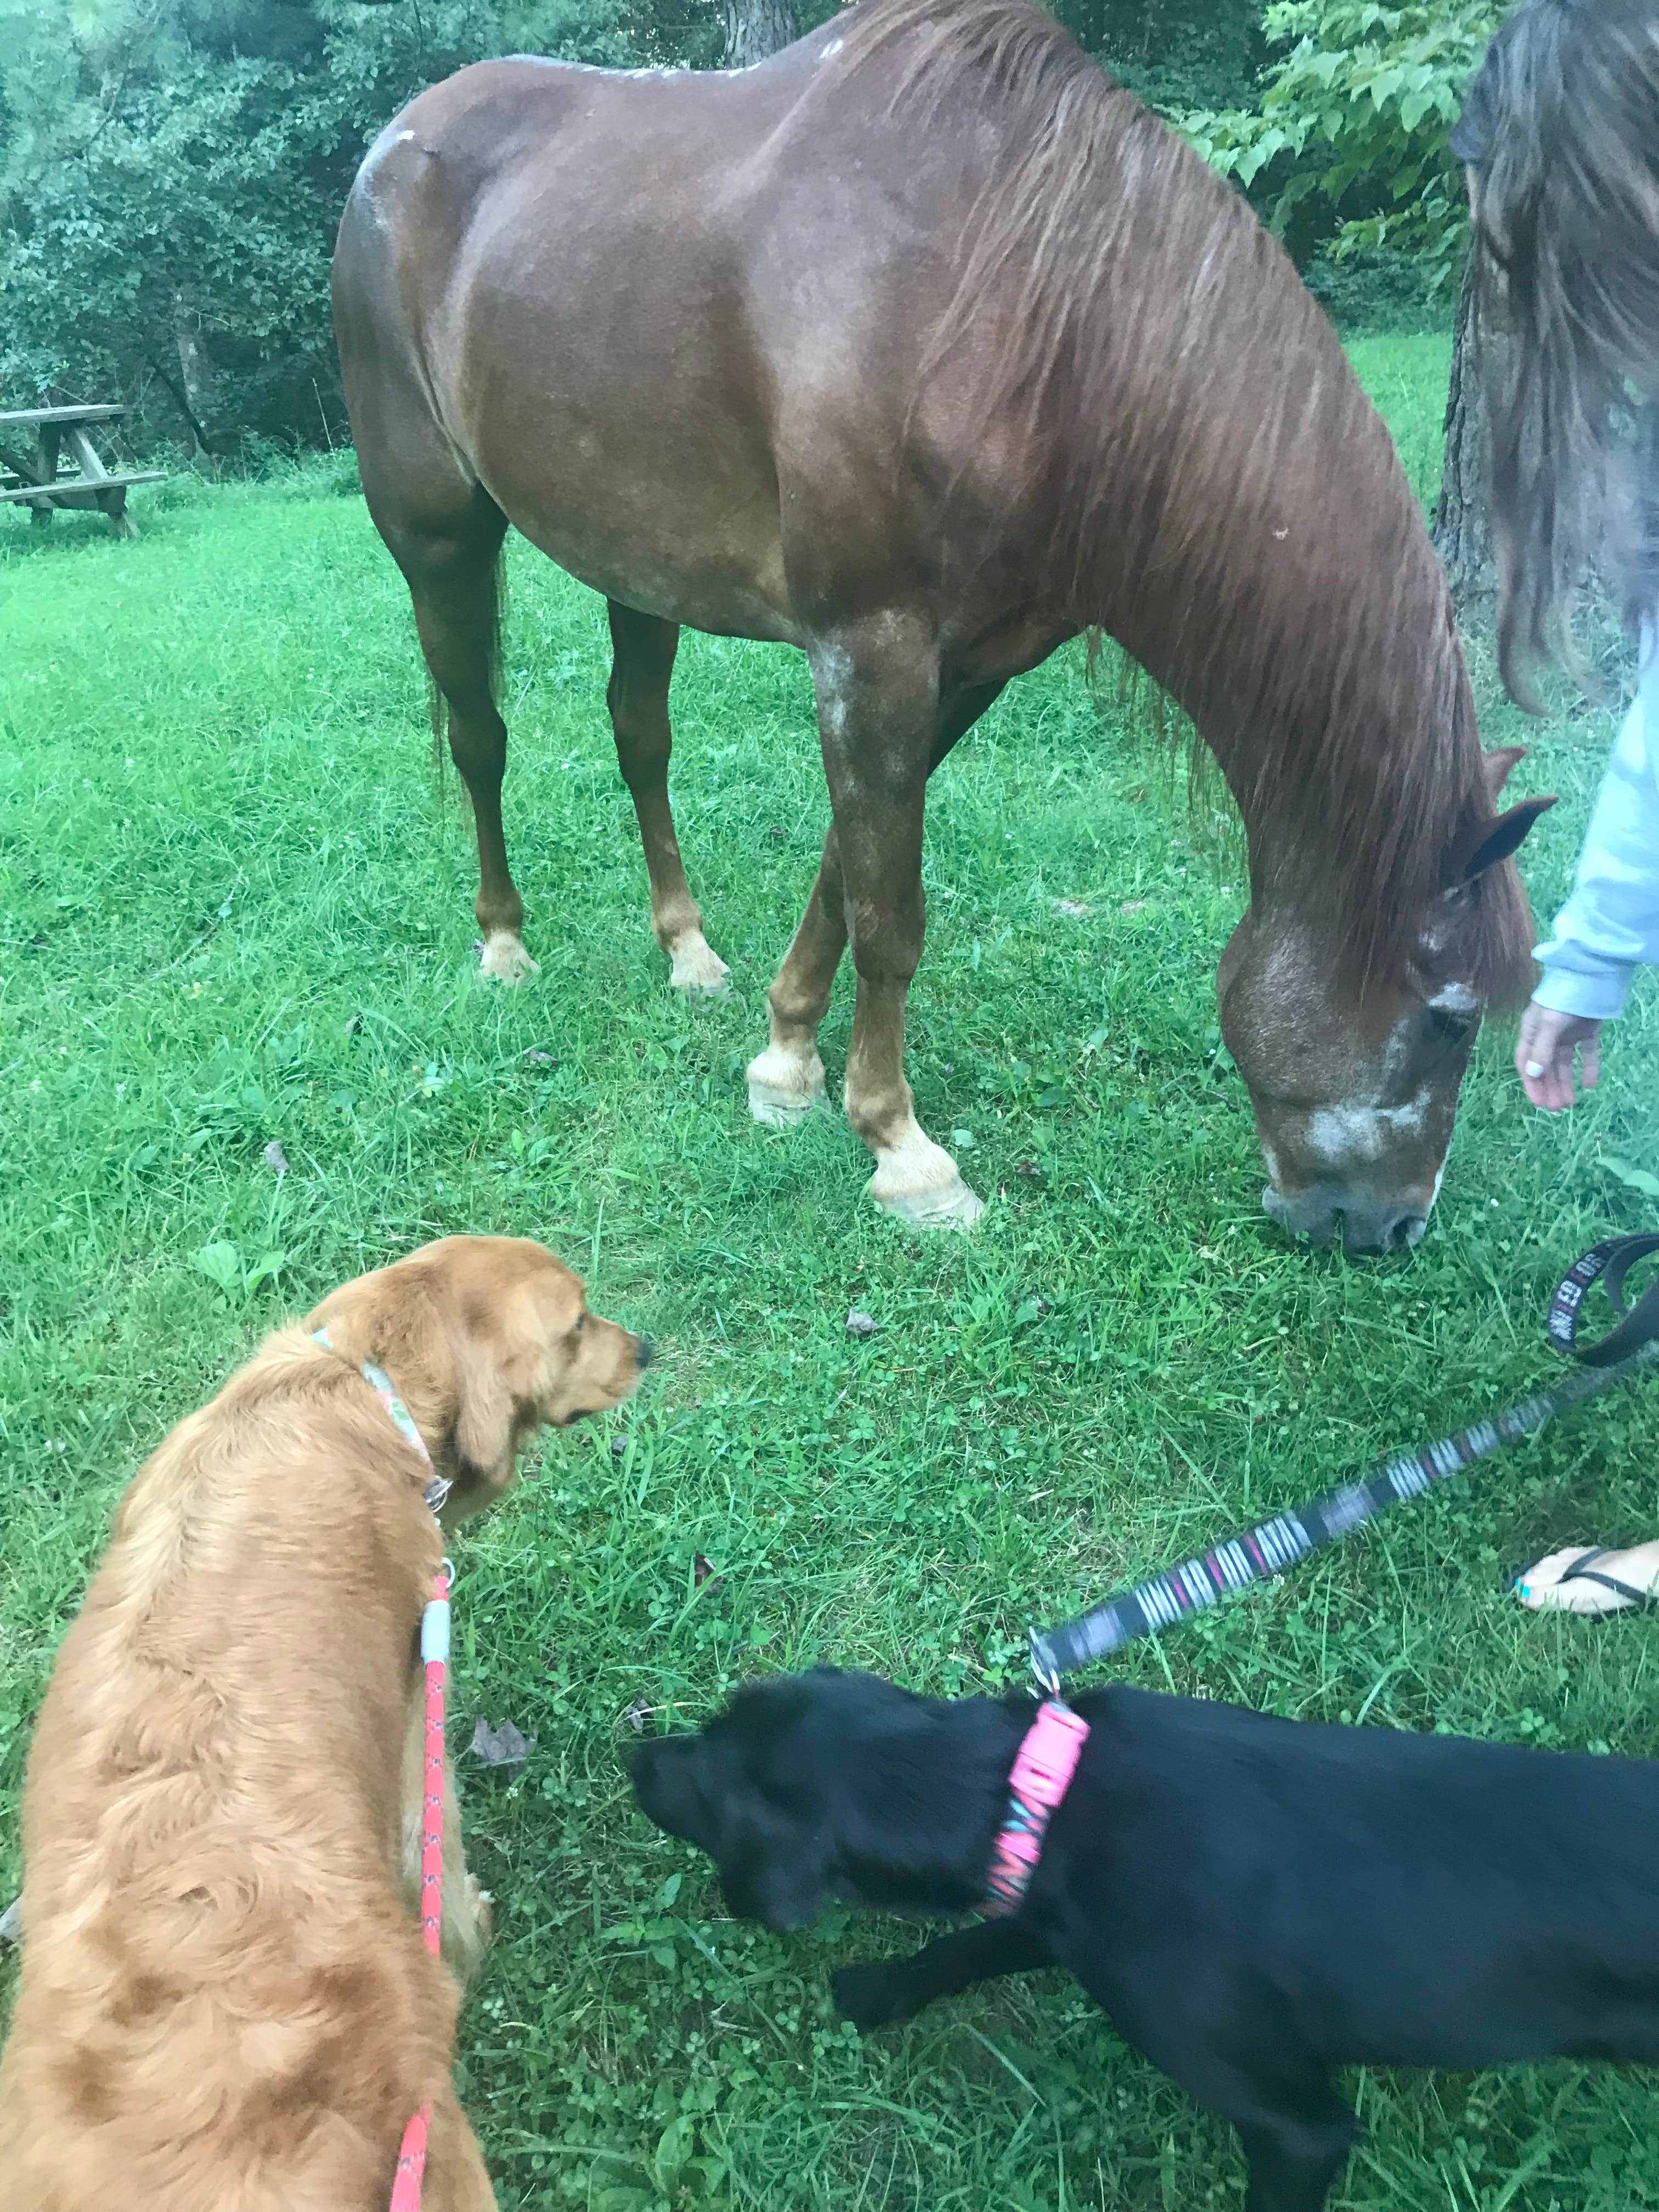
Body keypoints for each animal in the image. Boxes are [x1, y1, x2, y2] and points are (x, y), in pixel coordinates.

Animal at [333, 0, 1550, 1252]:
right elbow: (890, 913)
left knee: (638, 737)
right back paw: (504, 942)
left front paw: (783, 1060)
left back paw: (687, 950)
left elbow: (845, 868)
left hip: (635, 559)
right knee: (480, 738)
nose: (1389, 1229)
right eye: (1452, 1017)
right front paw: (901, 1150)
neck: (1024, 306)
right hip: (439, 537)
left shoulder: (962, 667)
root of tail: (399, 141)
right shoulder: (871, 652)